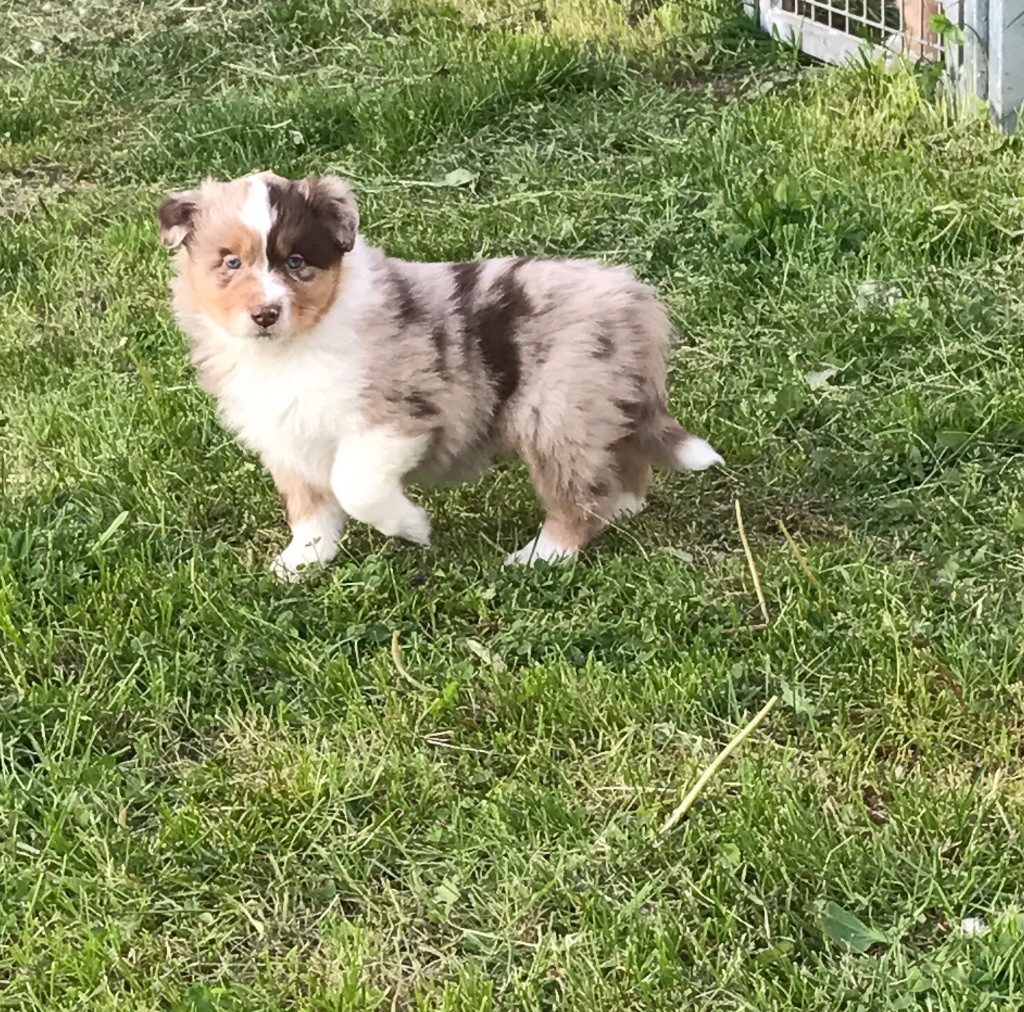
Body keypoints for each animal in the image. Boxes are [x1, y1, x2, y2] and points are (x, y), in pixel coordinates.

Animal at [157, 171, 723, 579]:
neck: (291, 348)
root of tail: (632, 299)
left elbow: (354, 485)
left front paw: (412, 527)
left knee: (577, 498)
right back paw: (621, 509)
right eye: (230, 262)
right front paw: (303, 561)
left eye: (296, 261)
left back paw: (541, 557)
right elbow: (312, 507)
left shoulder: (397, 417)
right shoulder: (287, 435)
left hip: (556, 414)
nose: (265, 314)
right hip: (598, 403)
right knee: (622, 463)